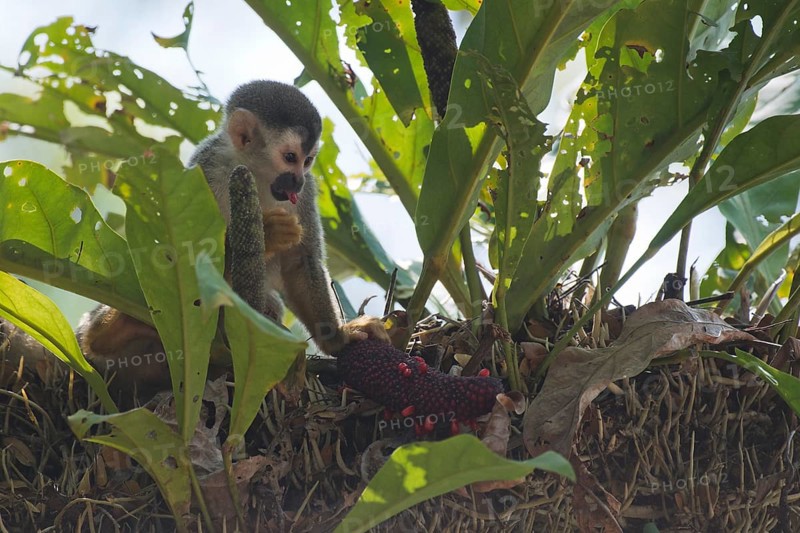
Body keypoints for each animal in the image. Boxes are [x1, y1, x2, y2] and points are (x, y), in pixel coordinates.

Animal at [79, 80, 388, 391]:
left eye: (308, 161)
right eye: (290, 157)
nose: (297, 181)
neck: (253, 172)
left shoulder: (307, 192)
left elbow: (299, 261)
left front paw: (338, 338)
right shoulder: (206, 170)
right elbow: (180, 254)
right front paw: (268, 232)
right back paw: (108, 331)